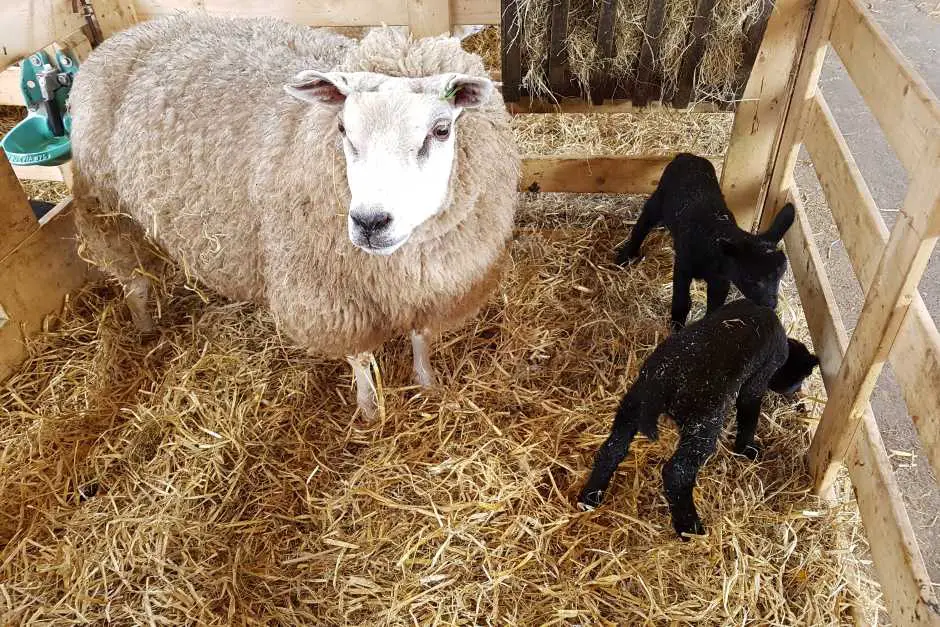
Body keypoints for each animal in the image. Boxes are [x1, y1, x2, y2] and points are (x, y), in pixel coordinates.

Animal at [69, 13, 516, 418]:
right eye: (342, 129)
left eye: (441, 130)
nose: (370, 222)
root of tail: (118, 38)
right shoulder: (328, 300)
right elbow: (359, 358)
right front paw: (369, 410)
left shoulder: (435, 290)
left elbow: (421, 339)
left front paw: (427, 385)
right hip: (110, 212)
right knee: (134, 280)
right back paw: (145, 327)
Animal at [576, 300, 820, 540]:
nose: (797, 393)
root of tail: (662, 384)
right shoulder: (760, 377)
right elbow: (749, 412)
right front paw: (748, 450)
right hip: (702, 424)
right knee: (676, 473)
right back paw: (690, 529)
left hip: (632, 405)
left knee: (612, 449)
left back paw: (589, 497)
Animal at [616, 153, 792, 332]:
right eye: (749, 278)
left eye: (781, 275)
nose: (770, 305)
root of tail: (687, 156)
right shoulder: (683, 267)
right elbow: (680, 302)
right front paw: (677, 326)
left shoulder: (721, 280)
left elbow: (715, 307)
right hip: (659, 197)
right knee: (643, 224)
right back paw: (625, 256)